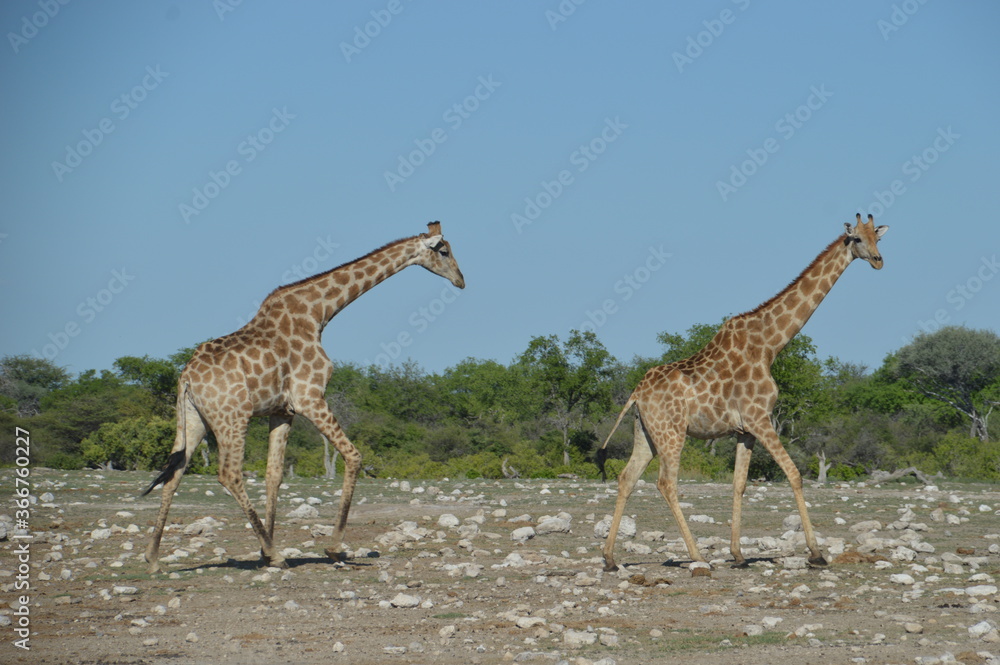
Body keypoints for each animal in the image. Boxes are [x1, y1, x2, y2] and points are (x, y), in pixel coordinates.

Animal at [142, 221, 465, 574]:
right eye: (444, 251)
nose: (461, 280)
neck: (318, 312)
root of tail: (186, 378)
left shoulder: (282, 410)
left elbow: (274, 475)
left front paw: (263, 553)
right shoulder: (310, 397)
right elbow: (353, 456)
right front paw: (333, 549)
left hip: (193, 419)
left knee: (174, 473)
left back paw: (154, 558)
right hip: (232, 417)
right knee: (229, 474)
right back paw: (277, 554)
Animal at [597, 214, 888, 572]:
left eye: (878, 237)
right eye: (857, 239)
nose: (878, 261)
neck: (770, 345)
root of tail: (636, 393)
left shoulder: (744, 430)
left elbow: (739, 485)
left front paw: (738, 554)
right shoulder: (760, 418)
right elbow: (794, 475)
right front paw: (816, 553)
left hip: (646, 432)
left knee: (627, 477)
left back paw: (610, 558)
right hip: (672, 432)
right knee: (666, 483)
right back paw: (697, 556)